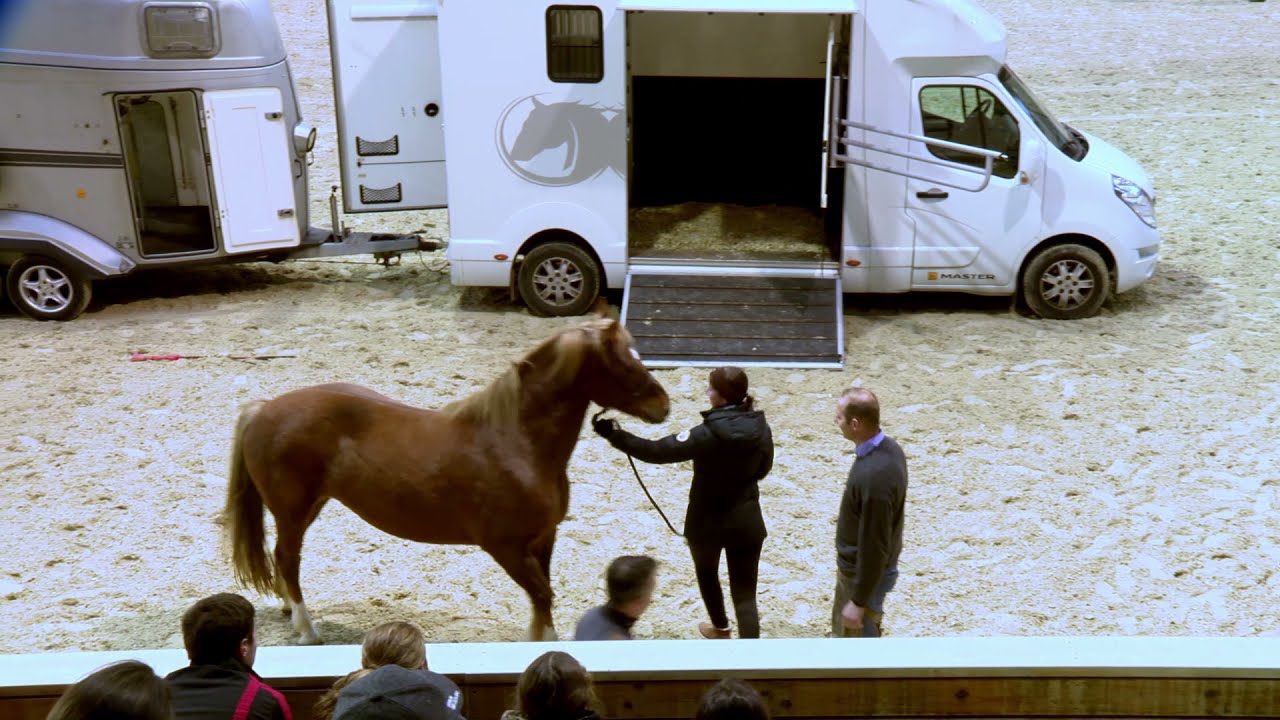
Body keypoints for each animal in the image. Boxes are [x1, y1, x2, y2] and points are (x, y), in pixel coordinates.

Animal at [222, 305, 670, 645]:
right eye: (623, 360)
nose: (663, 405)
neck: (516, 443)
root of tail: (262, 409)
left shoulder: (543, 540)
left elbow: (542, 600)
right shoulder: (506, 548)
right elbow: (542, 596)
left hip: (309, 506)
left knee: (282, 557)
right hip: (292, 510)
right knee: (287, 557)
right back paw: (307, 629)